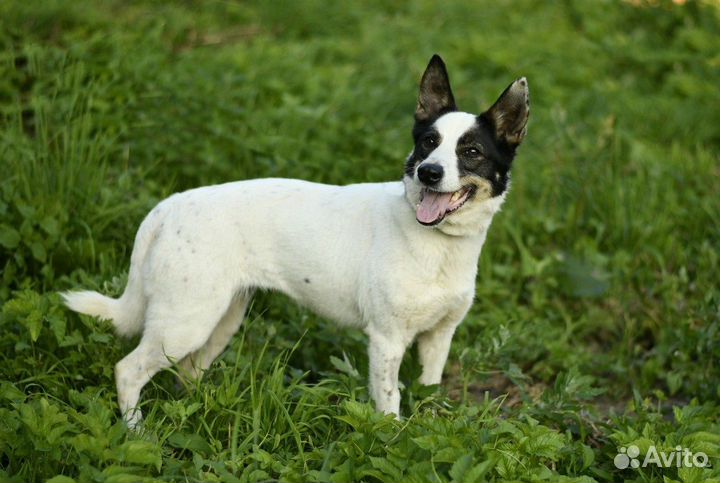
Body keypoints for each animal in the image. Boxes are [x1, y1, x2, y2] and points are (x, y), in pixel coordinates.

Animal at [63, 54, 528, 430]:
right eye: (428, 142)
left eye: (471, 152)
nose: (429, 173)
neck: (437, 244)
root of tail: (167, 207)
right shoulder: (387, 340)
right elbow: (389, 401)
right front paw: (394, 442)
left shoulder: (438, 338)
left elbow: (429, 392)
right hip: (183, 323)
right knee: (128, 370)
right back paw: (136, 433)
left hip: (221, 318)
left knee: (188, 373)